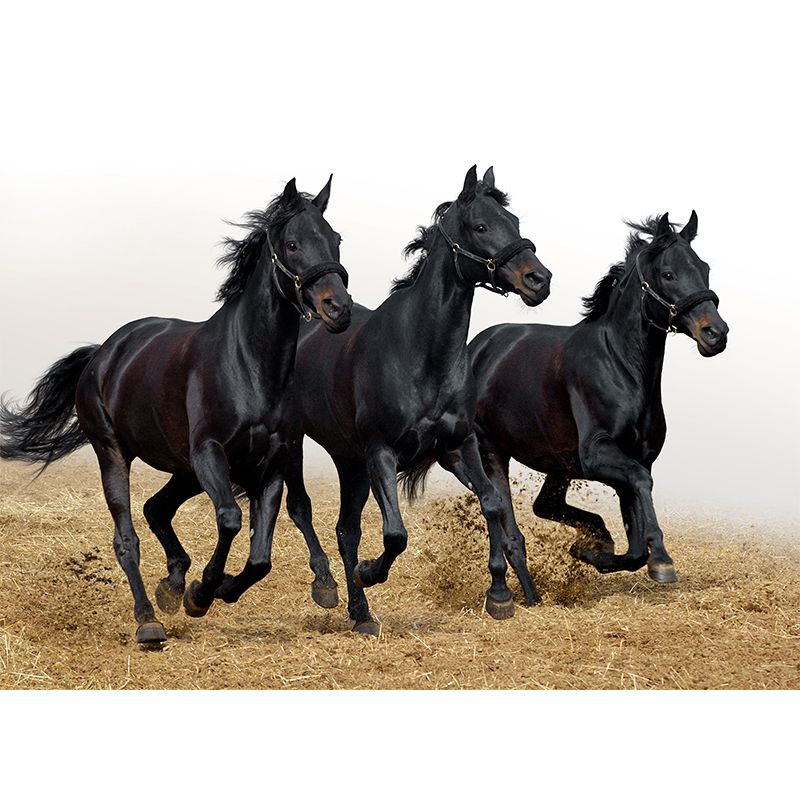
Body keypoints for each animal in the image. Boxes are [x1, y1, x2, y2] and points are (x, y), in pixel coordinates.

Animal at [0, 176, 352, 644]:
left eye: (336, 239)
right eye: (292, 244)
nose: (339, 308)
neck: (250, 366)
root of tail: (103, 354)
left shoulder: (272, 463)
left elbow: (261, 556)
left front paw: (216, 589)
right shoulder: (209, 454)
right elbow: (230, 519)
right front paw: (202, 592)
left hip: (183, 470)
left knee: (156, 508)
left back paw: (171, 585)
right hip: (116, 454)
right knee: (127, 537)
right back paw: (149, 620)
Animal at [285, 166, 552, 634]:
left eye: (514, 221)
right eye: (480, 226)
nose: (539, 280)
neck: (421, 354)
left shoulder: (459, 445)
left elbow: (493, 503)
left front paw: (500, 595)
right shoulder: (381, 454)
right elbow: (395, 534)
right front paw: (370, 572)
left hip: (349, 461)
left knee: (346, 530)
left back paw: (361, 615)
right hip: (299, 443)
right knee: (302, 509)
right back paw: (328, 586)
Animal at [452, 211, 728, 591]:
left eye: (704, 268)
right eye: (668, 274)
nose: (716, 333)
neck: (621, 367)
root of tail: (476, 348)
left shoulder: (635, 459)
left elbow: (635, 543)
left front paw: (593, 550)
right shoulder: (598, 454)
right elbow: (641, 489)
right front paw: (661, 560)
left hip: (557, 463)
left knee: (544, 506)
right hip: (492, 452)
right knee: (506, 524)